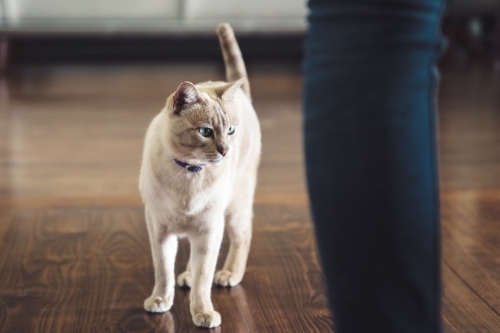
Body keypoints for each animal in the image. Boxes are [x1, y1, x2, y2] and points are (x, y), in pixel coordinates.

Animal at [138, 23, 262, 326]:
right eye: (205, 131)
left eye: (230, 130)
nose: (226, 151)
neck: (190, 171)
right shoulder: (159, 229)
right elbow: (163, 271)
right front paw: (160, 301)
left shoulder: (209, 228)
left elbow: (204, 279)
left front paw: (203, 313)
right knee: (189, 263)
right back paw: (186, 277)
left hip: (234, 209)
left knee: (242, 238)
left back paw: (229, 275)